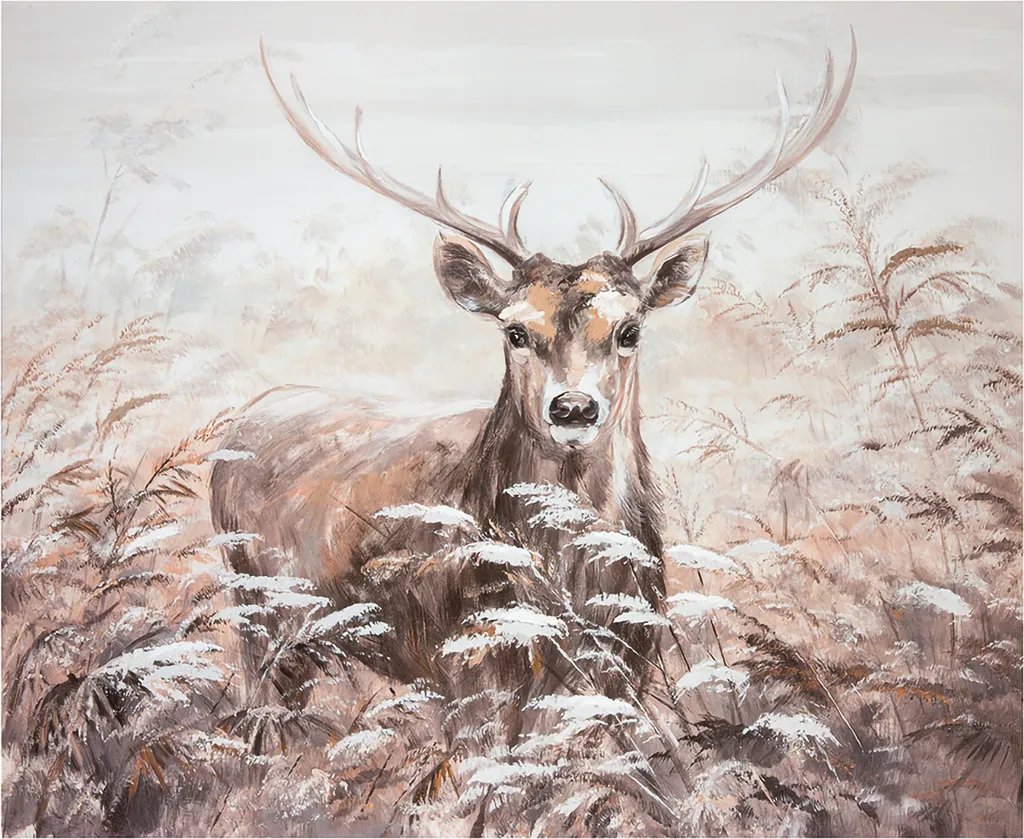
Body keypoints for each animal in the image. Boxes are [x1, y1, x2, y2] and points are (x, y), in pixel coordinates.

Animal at [210, 35, 857, 731]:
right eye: (515, 331)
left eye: (630, 329)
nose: (573, 408)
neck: (571, 593)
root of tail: (247, 417)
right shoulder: (464, 671)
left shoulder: (626, 667)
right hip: (257, 613)